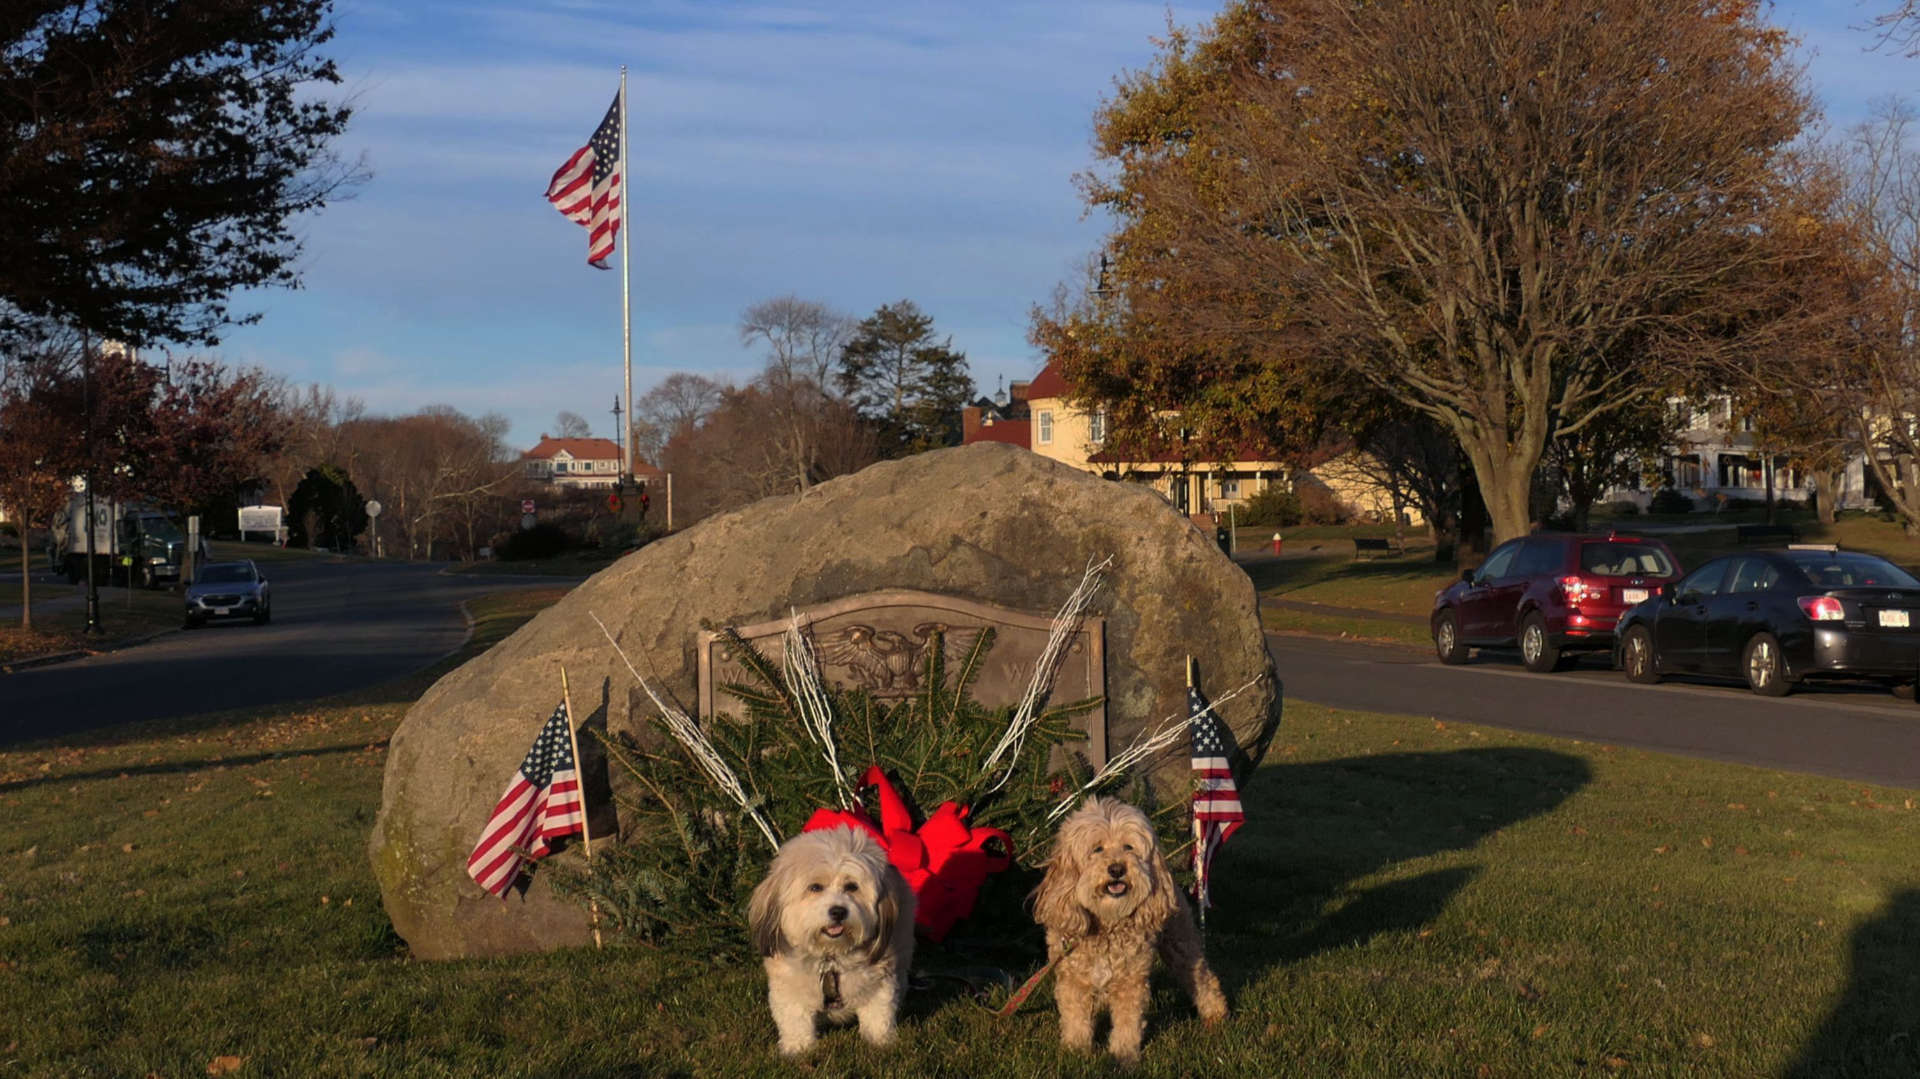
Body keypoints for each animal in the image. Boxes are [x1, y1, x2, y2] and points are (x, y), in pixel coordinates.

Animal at [741, 821, 913, 1052]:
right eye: (815, 887)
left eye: (852, 886)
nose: (838, 911)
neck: (830, 957)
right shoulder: (789, 988)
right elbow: (795, 1020)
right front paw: (798, 1048)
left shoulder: (878, 981)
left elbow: (878, 1014)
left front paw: (880, 1041)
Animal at [1036, 798, 1228, 1059]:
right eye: (1097, 849)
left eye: (1128, 847)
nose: (1117, 869)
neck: (1107, 924)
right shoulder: (1074, 980)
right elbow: (1076, 1019)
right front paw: (1075, 1051)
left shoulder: (1130, 982)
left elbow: (1128, 1023)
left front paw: (1123, 1055)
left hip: (1180, 942)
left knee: (1201, 977)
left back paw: (1215, 1012)